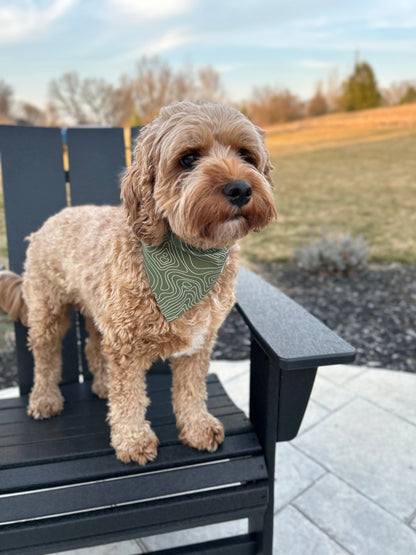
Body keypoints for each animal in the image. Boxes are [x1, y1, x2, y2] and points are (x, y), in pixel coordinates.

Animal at [0, 103, 280, 464]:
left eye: (246, 155)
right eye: (189, 158)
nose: (241, 188)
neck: (189, 259)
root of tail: (48, 222)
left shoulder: (198, 342)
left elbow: (191, 389)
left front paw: (197, 427)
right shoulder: (126, 347)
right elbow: (129, 397)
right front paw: (133, 441)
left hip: (99, 309)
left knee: (93, 346)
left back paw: (101, 385)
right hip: (48, 310)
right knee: (46, 356)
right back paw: (45, 399)